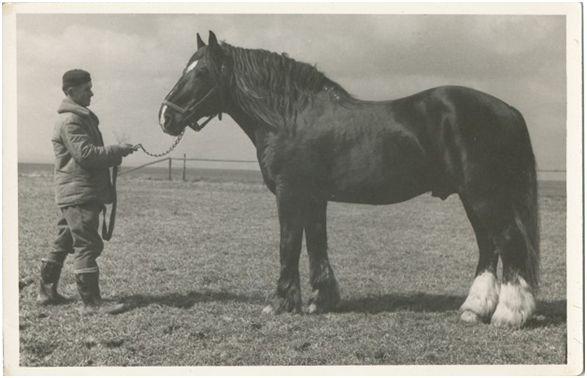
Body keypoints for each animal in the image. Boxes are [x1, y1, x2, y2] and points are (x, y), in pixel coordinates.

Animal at [158, 31, 540, 328]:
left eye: (203, 72)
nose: (165, 117)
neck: (290, 116)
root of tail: (507, 110)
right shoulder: (313, 197)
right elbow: (316, 243)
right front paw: (321, 300)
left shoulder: (289, 193)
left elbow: (289, 244)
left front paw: (281, 303)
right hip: (472, 196)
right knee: (489, 247)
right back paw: (474, 310)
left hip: (483, 194)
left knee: (509, 242)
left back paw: (508, 314)